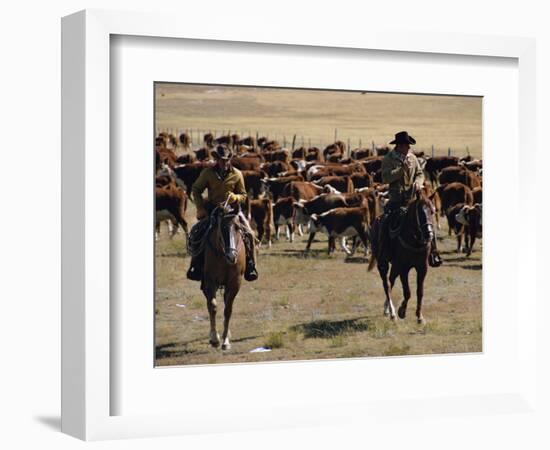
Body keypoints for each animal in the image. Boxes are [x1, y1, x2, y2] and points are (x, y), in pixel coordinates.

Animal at [203, 202, 246, 350]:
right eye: (222, 227)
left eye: (237, 227)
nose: (231, 256)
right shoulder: (209, 281)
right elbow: (213, 306)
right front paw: (214, 338)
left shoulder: (235, 283)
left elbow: (228, 309)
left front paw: (226, 340)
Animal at [370, 190, 440, 324]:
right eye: (421, 212)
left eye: (432, 211)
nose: (429, 234)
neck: (414, 240)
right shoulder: (403, 268)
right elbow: (407, 292)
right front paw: (402, 311)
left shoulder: (422, 268)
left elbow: (420, 292)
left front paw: (419, 316)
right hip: (383, 263)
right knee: (386, 284)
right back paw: (392, 313)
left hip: (395, 266)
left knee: (391, 280)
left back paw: (387, 309)